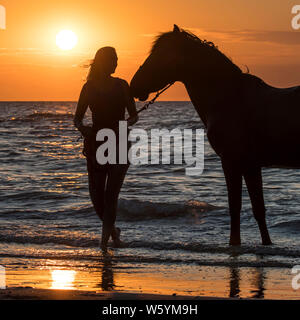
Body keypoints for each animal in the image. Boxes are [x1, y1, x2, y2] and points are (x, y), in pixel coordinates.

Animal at [130, 24, 300, 245]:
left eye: (161, 55)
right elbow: (258, 210)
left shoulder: (231, 162)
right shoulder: (251, 165)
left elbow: (235, 207)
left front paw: (234, 243)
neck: (229, 99)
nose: (134, 85)